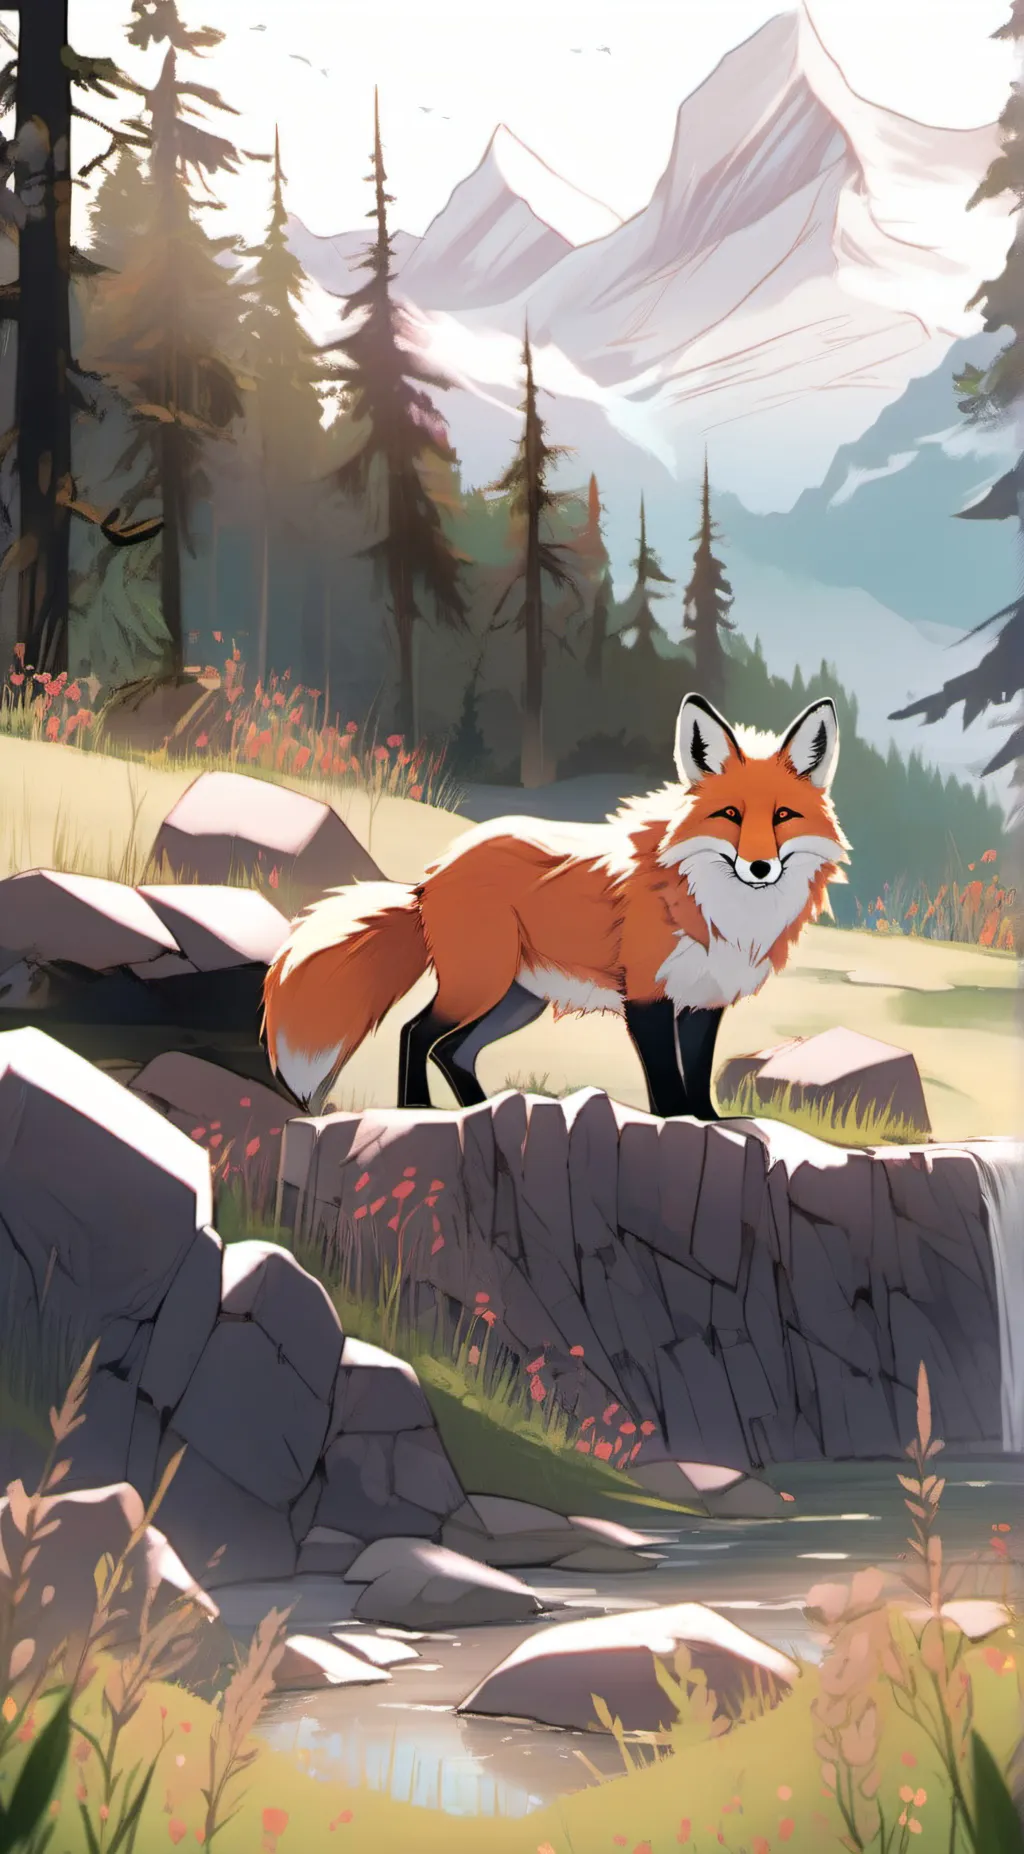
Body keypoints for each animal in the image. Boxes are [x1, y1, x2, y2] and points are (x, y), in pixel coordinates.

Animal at [262, 692, 851, 1122]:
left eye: (782, 816)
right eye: (730, 815)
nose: (760, 867)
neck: (720, 909)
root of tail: (431, 877)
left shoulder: (704, 999)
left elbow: (699, 1075)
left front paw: (709, 1121)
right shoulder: (647, 994)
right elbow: (666, 1079)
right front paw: (676, 1122)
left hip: (516, 1001)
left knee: (453, 1051)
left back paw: (482, 1110)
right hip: (481, 986)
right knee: (416, 1033)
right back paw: (420, 1109)